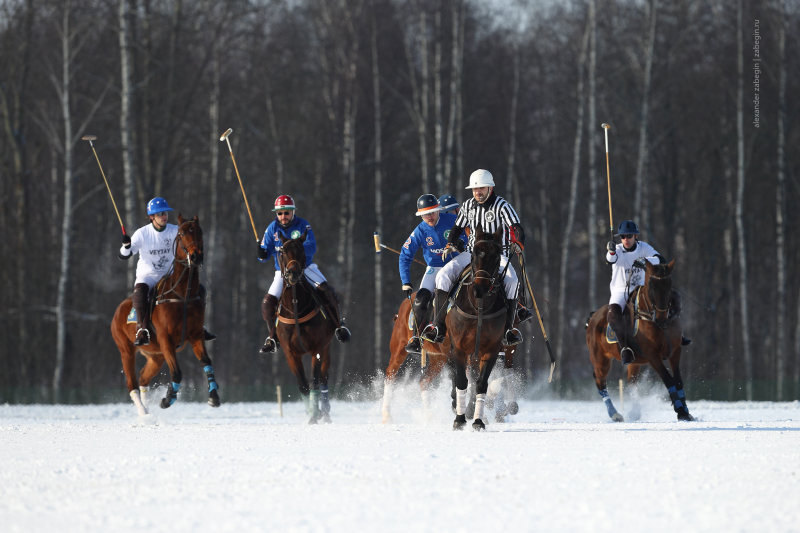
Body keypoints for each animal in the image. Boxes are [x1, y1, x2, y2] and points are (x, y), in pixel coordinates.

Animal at [110, 214, 219, 414]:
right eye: (181, 233)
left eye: (199, 232)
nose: (196, 256)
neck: (182, 295)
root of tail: (119, 309)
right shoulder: (166, 339)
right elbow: (177, 372)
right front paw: (168, 399)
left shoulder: (195, 336)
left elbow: (207, 362)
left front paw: (214, 397)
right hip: (126, 349)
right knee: (132, 384)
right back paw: (144, 413)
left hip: (156, 355)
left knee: (143, 378)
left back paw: (147, 408)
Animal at [276, 231, 336, 422]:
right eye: (283, 251)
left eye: (302, 250)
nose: (293, 273)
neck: (296, 306)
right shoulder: (290, 353)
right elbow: (302, 385)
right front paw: (310, 413)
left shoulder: (317, 348)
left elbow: (315, 381)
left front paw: (315, 415)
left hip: (327, 347)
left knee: (324, 378)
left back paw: (325, 411)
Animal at [382, 294, 520, 422]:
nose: (521, 313)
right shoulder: (459, 351)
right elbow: (466, 377)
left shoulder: (501, 350)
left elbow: (501, 374)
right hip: (399, 348)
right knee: (390, 374)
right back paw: (387, 416)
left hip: (437, 359)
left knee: (424, 380)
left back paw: (430, 416)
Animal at [444, 223, 506, 428]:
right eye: (473, 256)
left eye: (497, 257)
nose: (480, 289)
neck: (479, 306)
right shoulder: (458, 348)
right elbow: (461, 381)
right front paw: (459, 419)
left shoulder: (491, 349)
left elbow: (480, 383)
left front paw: (478, 421)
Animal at [584, 260, 692, 422]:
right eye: (651, 286)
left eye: (669, 284)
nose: (661, 318)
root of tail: (592, 317)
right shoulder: (652, 355)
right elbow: (668, 380)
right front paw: (680, 410)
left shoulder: (675, 351)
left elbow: (678, 380)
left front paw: (685, 411)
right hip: (600, 359)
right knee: (600, 382)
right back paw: (615, 414)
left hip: (633, 362)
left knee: (631, 381)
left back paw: (634, 412)